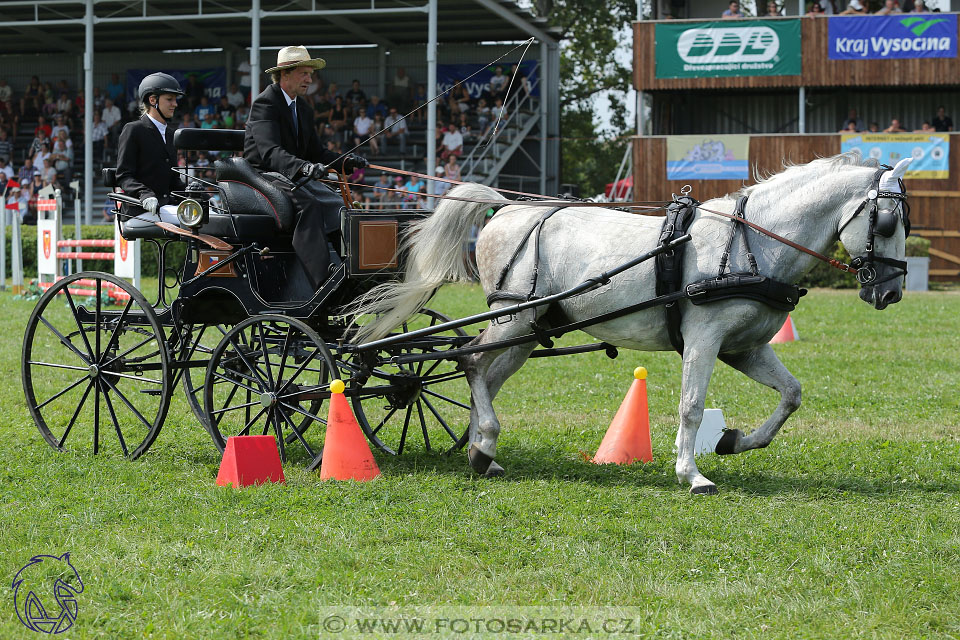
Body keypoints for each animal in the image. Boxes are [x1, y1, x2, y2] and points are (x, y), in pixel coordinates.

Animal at [348, 152, 912, 492]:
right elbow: (691, 405)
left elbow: (791, 395)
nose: (890, 291)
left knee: (484, 374)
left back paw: (483, 452)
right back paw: (483, 442)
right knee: (469, 361)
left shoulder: (745, 347)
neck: (752, 243)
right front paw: (691, 472)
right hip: (513, 316)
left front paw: (733, 441)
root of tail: (507, 209)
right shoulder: (705, 339)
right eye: (886, 221)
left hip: (530, 328)